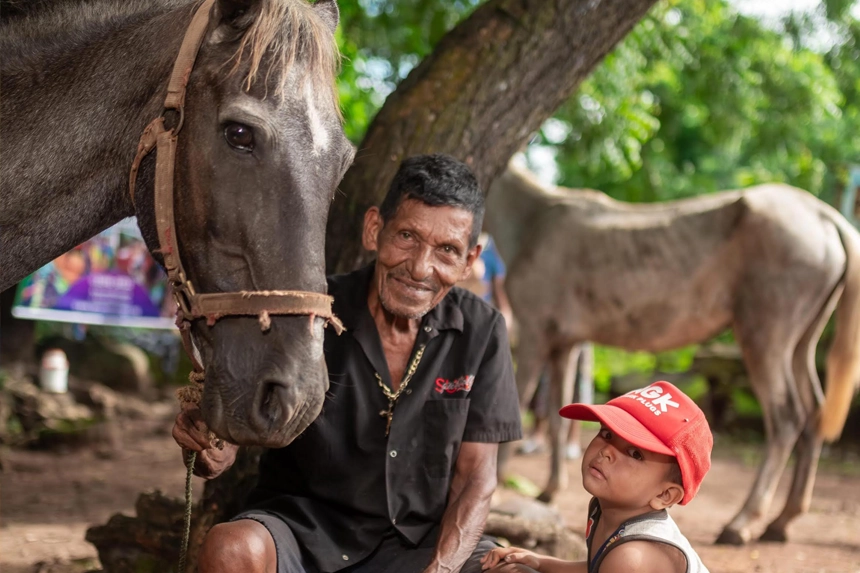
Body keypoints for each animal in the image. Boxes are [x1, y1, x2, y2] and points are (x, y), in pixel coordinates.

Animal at [486, 161, 860, 545]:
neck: (533, 221)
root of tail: (827, 217)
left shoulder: (533, 332)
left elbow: (516, 405)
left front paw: (498, 486)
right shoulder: (565, 343)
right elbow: (559, 413)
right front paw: (549, 489)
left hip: (765, 334)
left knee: (786, 418)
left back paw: (741, 522)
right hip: (802, 341)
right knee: (814, 414)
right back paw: (783, 520)